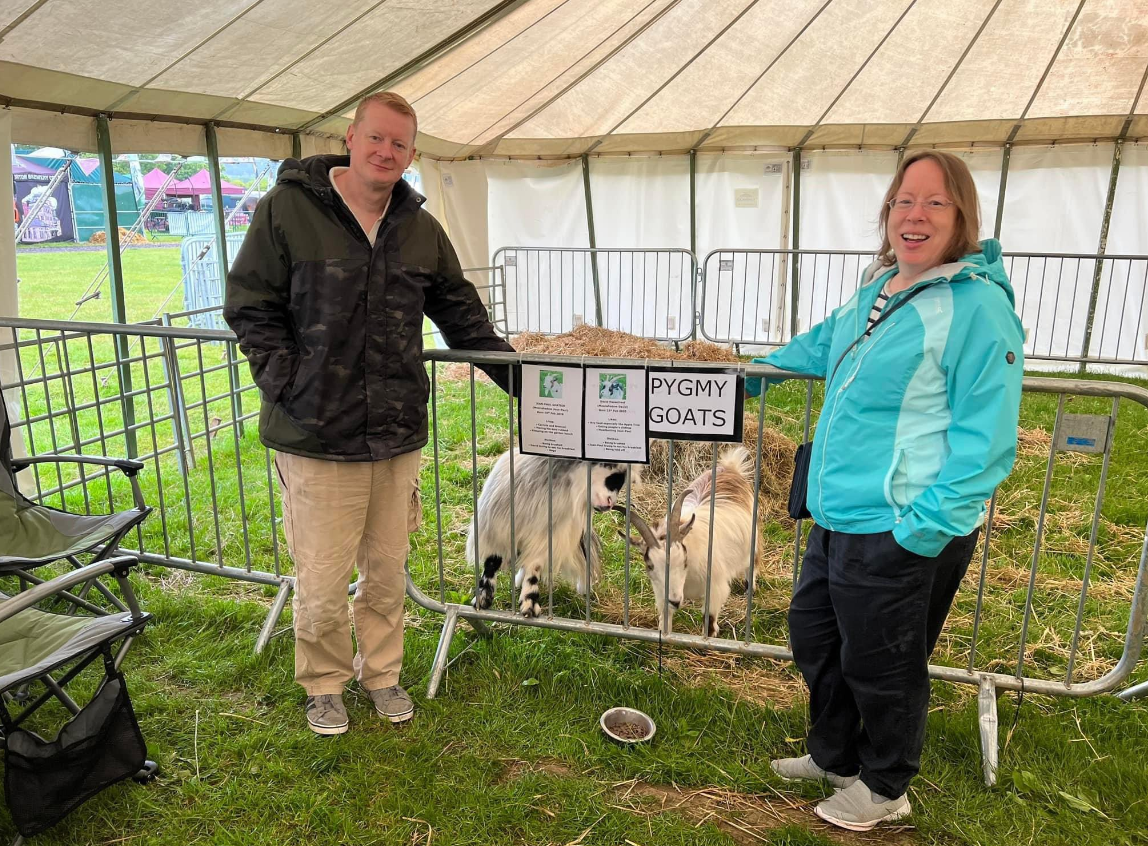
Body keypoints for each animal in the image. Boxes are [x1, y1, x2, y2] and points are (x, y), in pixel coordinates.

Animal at [468, 452, 647, 615]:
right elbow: (491, 563)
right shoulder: (498, 530)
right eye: (613, 476)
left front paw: (529, 604)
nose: (609, 505)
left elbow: (534, 568)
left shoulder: (546, 539)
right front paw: (483, 598)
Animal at [624, 445, 757, 638]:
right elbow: (664, 621)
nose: (675, 601)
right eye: (650, 565)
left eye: (684, 561)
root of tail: (730, 468)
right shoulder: (662, 593)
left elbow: (709, 621)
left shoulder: (715, 588)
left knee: (751, 565)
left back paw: (749, 590)